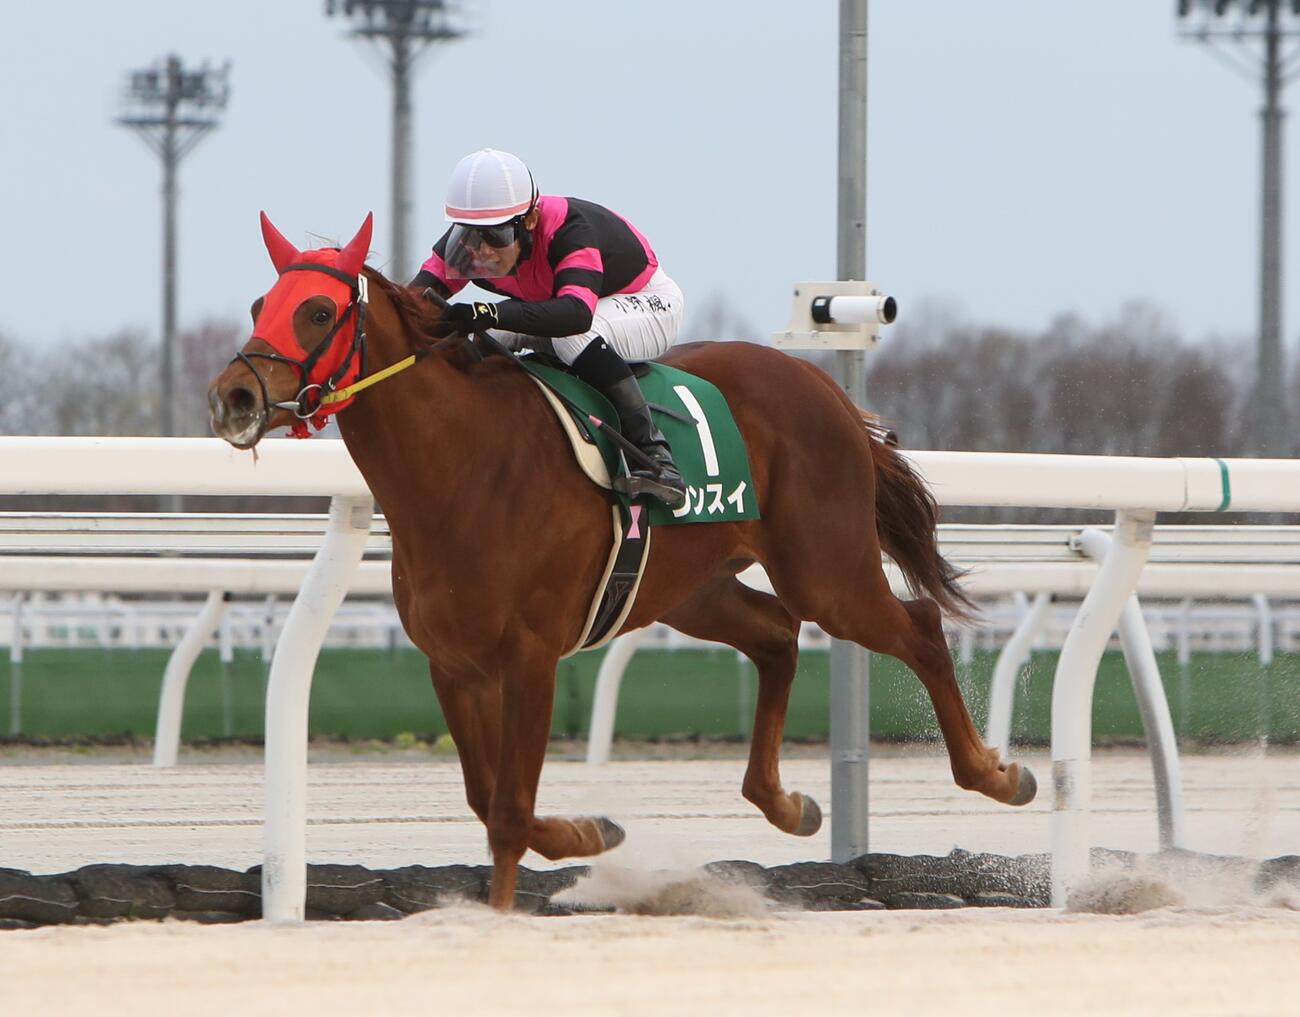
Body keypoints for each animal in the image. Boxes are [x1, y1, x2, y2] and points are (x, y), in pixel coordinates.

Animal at [208, 213, 1036, 910]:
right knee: (775, 634)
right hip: (689, 587)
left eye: (319, 312)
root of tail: (826, 389)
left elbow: (508, 811)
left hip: (827, 572)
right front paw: (589, 831)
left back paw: (996, 773)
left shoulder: (531, 656)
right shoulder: (454, 662)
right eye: (258, 302)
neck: (464, 466)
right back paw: (786, 803)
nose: (233, 396)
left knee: (917, 625)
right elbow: (486, 799)